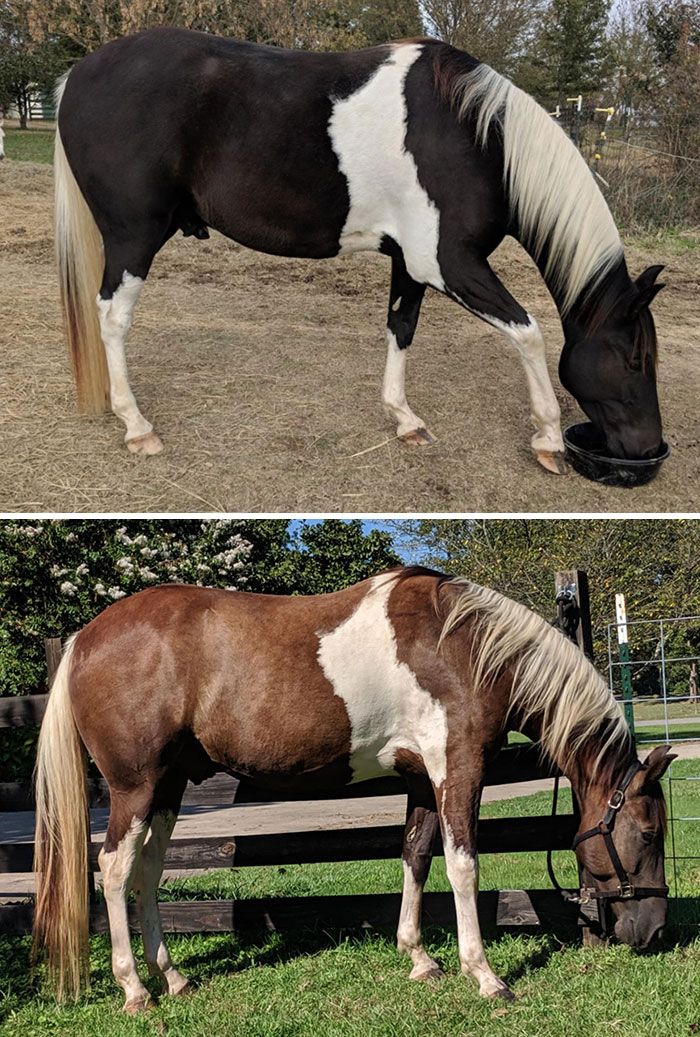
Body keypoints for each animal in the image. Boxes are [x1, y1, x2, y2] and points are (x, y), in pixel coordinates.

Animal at [32, 572, 672, 1007]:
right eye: (647, 832)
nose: (655, 930)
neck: (463, 646)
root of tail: (85, 638)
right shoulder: (458, 768)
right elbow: (463, 866)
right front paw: (485, 975)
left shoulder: (421, 779)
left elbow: (416, 856)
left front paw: (419, 958)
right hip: (134, 789)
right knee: (114, 870)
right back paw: (134, 990)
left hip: (167, 788)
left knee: (148, 873)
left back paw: (172, 977)